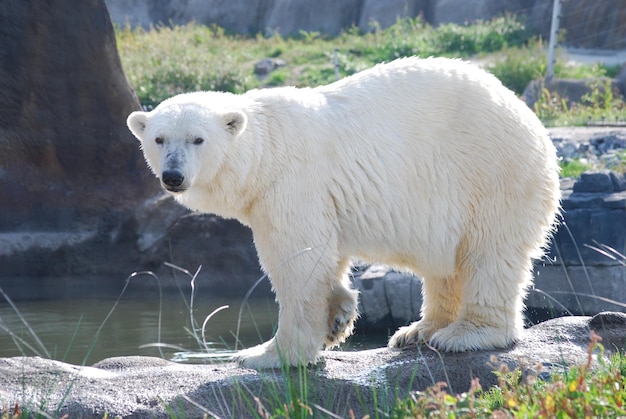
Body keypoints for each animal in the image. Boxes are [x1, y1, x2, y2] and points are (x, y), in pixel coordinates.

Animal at [125, 57, 556, 370]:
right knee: (444, 265)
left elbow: (296, 260)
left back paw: (464, 334)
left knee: (488, 253)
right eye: (159, 139)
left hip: (489, 175)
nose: (173, 176)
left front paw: (268, 355)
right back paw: (417, 330)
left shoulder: (293, 183)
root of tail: (530, 117)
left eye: (197, 139)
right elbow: (323, 256)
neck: (265, 152)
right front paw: (338, 316)